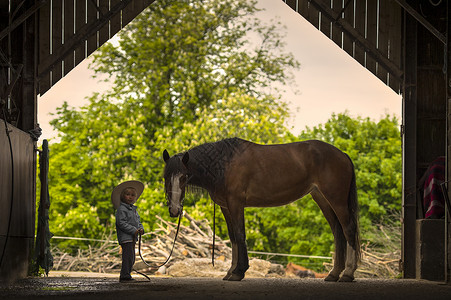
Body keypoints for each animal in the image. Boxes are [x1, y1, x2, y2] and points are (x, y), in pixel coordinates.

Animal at [164, 138, 362, 282]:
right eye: (165, 176)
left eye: (184, 177)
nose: (174, 210)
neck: (224, 165)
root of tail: (342, 155)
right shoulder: (225, 207)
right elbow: (233, 238)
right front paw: (230, 271)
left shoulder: (236, 204)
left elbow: (240, 235)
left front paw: (239, 272)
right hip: (322, 199)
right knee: (337, 232)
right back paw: (333, 274)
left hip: (336, 200)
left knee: (348, 229)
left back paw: (347, 274)